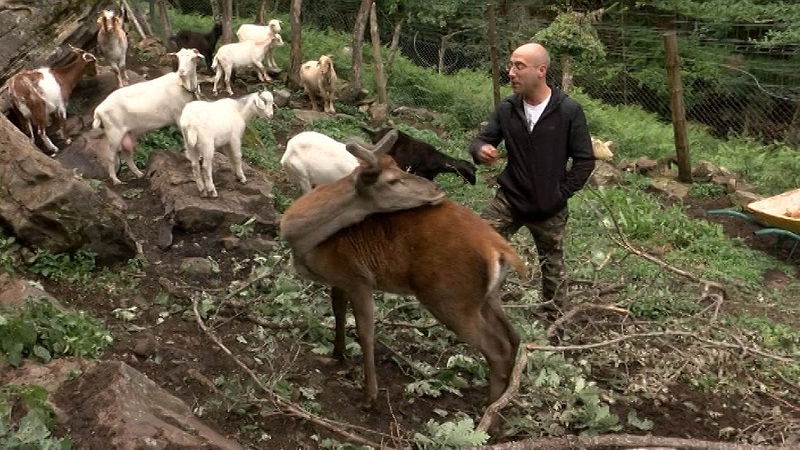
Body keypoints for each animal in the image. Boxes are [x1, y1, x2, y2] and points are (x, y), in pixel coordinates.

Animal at [92, 47, 205, 185]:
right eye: (178, 57)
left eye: (193, 58)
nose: (181, 71)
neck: (182, 85)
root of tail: (98, 110)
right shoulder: (178, 116)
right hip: (113, 131)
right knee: (111, 156)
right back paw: (116, 180)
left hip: (129, 132)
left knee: (126, 153)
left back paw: (139, 174)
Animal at [282, 130, 524, 414]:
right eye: (393, 179)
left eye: (399, 166)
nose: (437, 189)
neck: (304, 242)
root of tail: (500, 249)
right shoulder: (339, 277)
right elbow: (337, 312)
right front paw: (336, 356)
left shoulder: (359, 277)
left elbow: (365, 332)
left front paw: (369, 397)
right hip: (487, 297)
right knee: (513, 338)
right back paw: (504, 402)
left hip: (449, 297)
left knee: (497, 348)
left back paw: (490, 411)